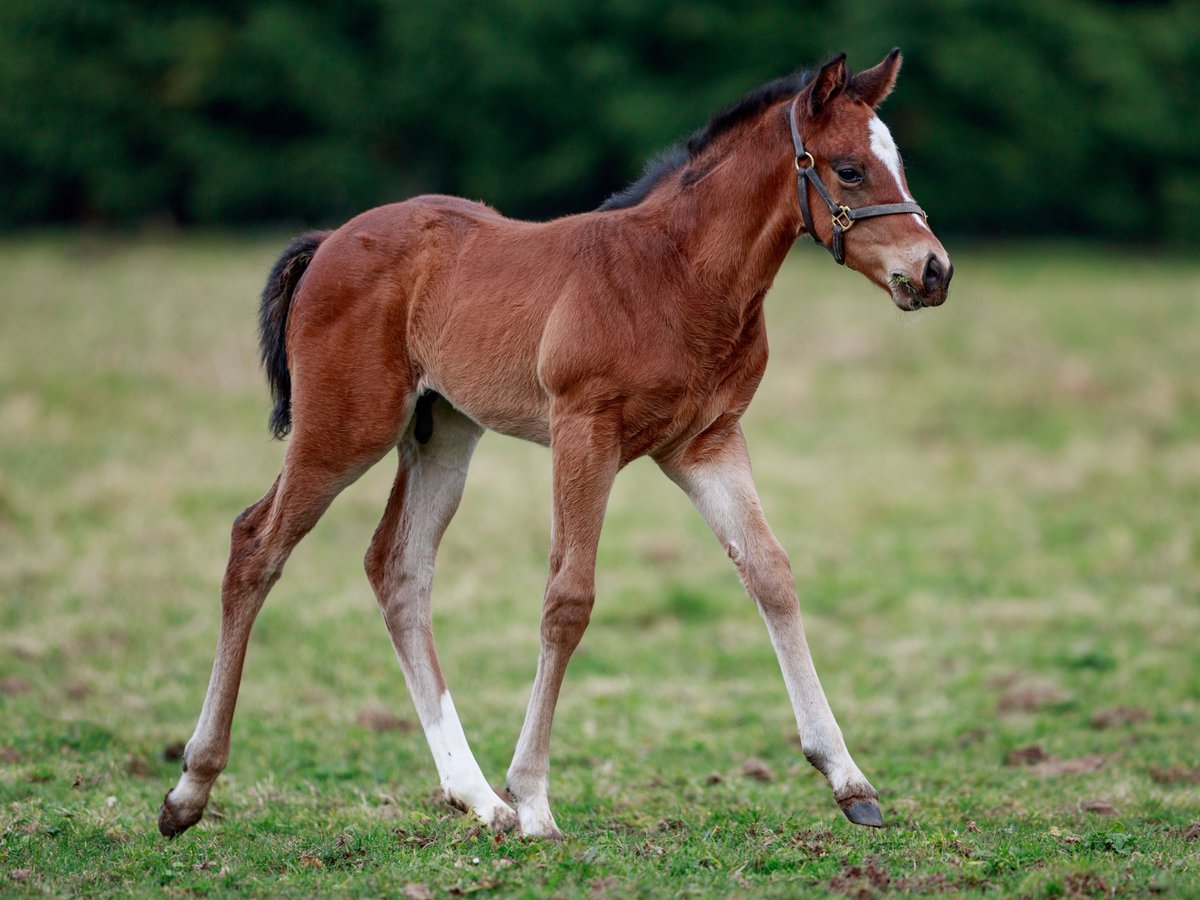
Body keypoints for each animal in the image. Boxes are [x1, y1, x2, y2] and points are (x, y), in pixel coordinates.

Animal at [159, 49, 952, 841]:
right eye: (850, 169)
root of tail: (329, 242)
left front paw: (848, 779)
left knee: (398, 567)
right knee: (256, 543)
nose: (934, 269)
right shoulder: (583, 431)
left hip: (443, 431)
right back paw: (190, 790)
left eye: (897, 164)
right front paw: (537, 801)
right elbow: (568, 598)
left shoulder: (707, 443)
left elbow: (771, 573)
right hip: (345, 428)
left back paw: (478, 798)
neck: (679, 274)